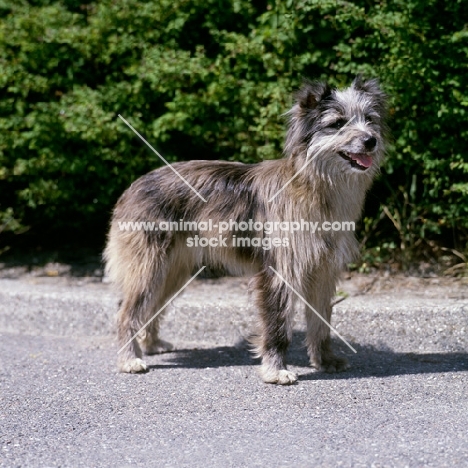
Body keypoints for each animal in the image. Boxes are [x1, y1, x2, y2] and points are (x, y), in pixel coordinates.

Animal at [105, 76, 388, 384]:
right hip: (148, 266)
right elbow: (277, 325)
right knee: (126, 312)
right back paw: (129, 358)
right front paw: (276, 370)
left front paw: (325, 360)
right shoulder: (279, 271)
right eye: (337, 123)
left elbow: (321, 322)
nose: (370, 140)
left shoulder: (323, 271)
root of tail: (134, 185)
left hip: (173, 270)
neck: (314, 187)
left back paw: (151, 344)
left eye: (369, 119)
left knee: (152, 307)